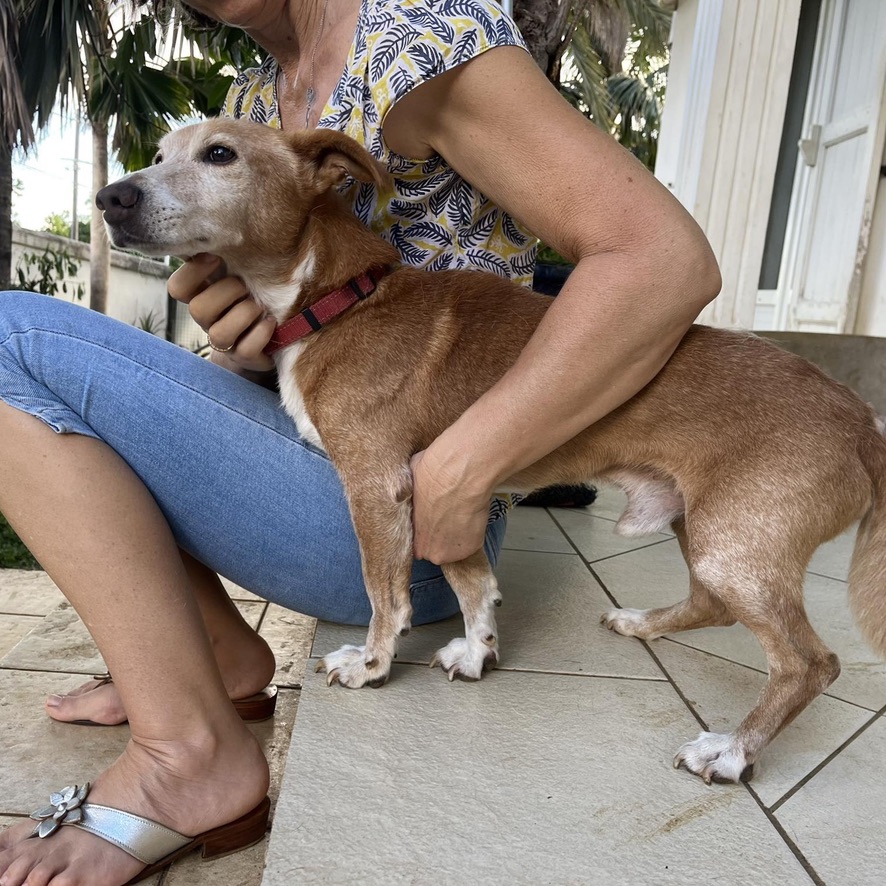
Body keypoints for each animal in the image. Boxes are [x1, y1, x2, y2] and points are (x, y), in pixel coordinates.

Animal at [95, 119, 886, 784]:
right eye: (159, 154)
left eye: (219, 154)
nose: (109, 197)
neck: (339, 298)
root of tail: (860, 420)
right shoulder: (442, 491)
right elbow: (472, 579)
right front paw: (478, 650)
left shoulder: (378, 485)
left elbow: (384, 593)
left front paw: (374, 666)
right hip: (707, 528)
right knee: (711, 605)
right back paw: (643, 624)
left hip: (736, 545)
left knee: (810, 664)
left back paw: (731, 750)